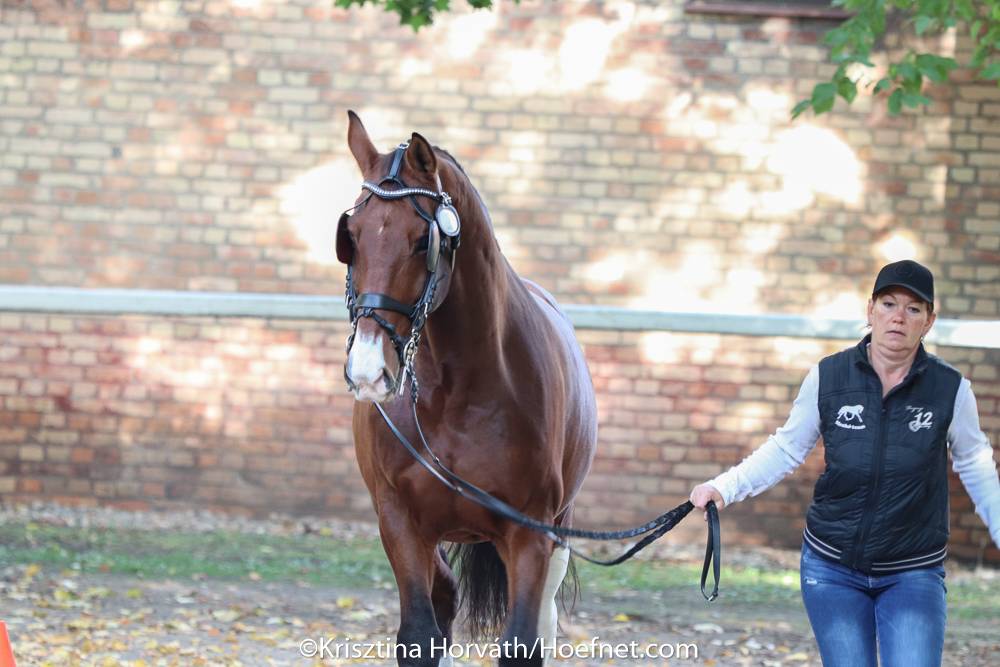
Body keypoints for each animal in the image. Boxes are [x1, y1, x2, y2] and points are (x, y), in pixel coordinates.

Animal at [340, 111, 596, 667]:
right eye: (352, 236)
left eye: (423, 240)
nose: (368, 370)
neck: (456, 391)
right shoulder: (400, 522)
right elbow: (420, 634)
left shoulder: (530, 532)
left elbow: (522, 643)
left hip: (557, 533)